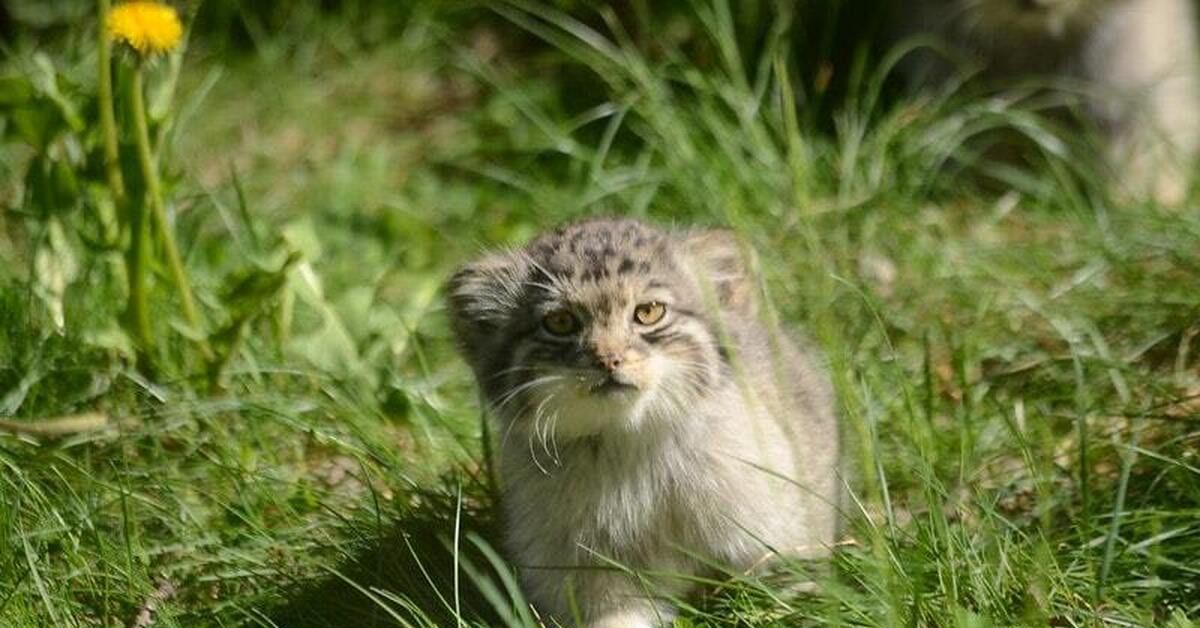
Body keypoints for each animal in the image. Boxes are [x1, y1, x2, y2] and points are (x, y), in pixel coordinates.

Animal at [446, 218, 840, 624]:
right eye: (560, 322)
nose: (608, 359)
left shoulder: (774, 534)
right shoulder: (587, 571)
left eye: (648, 312)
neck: (630, 443)